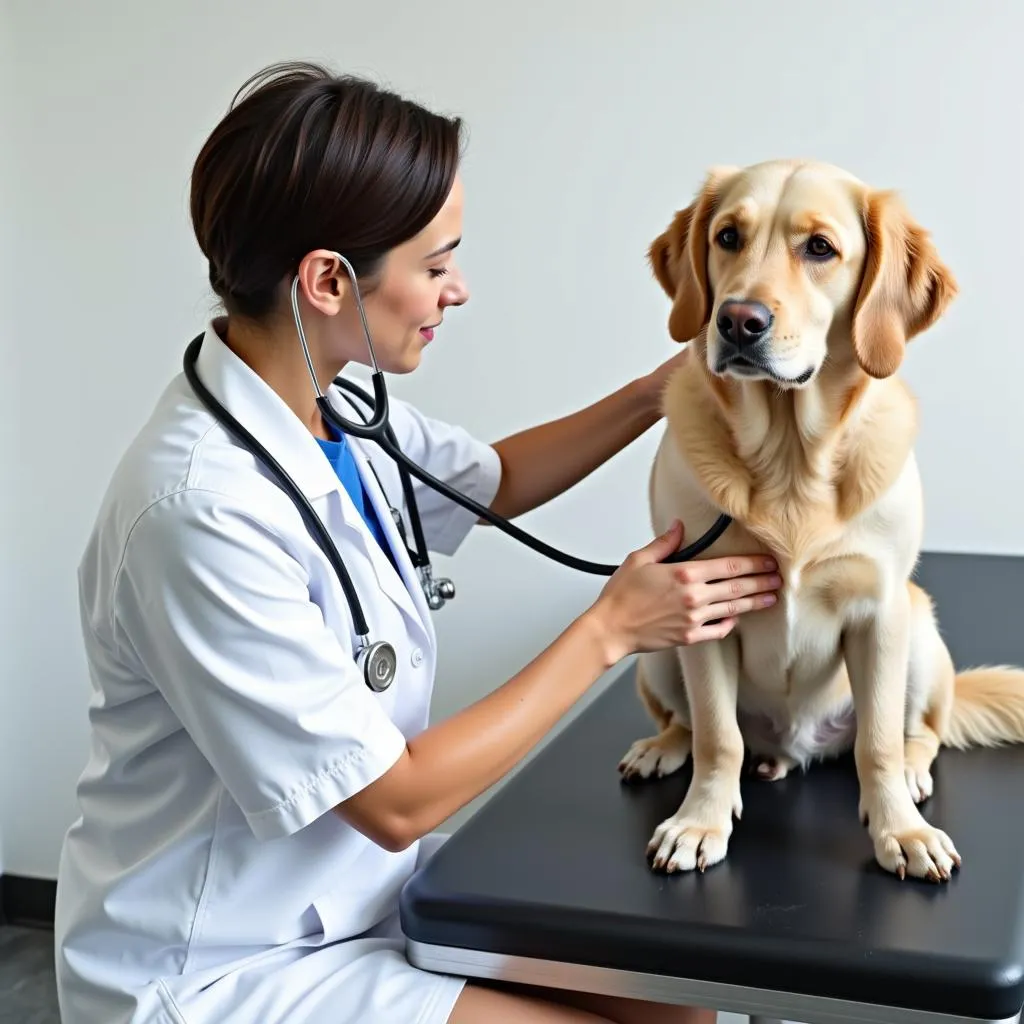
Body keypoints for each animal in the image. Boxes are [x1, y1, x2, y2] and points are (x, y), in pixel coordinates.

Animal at [618, 157, 1024, 880]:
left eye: (820, 249)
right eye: (727, 237)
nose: (737, 320)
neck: (788, 459)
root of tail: (793, 747)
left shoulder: (879, 612)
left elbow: (877, 745)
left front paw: (901, 832)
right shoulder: (702, 607)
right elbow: (718, 737)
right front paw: (700, 822)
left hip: (918, 632)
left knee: (919, 732)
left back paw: (913, 777)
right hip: (662, 649)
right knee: (692, 727)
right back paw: (664, 747)